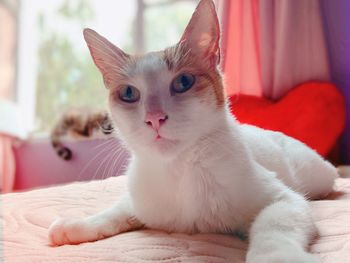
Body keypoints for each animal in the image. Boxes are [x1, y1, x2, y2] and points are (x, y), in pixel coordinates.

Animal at [48, 1, 336, 262]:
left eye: (183, 82)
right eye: (129, 93)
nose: (154, 118)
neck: (180, 169)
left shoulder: (284, 200)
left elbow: (272, 227)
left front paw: (276, 256)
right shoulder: (143, 200)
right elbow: (118, 210)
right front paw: (78, 224)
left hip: (315, 175)